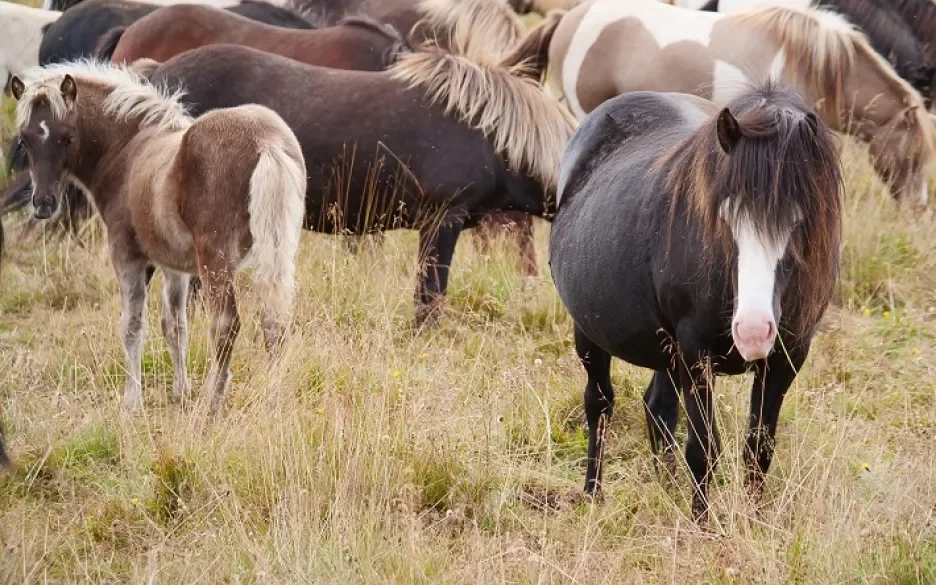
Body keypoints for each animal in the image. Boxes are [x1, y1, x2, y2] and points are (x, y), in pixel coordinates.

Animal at [9, 61, 308, 412]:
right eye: (25, 140)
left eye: (67, 138)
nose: (43, 204)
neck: (129, 149)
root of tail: (266, 141)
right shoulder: (174, 266)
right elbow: (175, 325)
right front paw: (181, 391)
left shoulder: (127, 255)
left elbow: (132, 324)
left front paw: (132, 401)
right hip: (279, 249)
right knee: (275, 320)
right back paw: (273, 395)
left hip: (215, 258)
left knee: (225, 323)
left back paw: (212, 403)